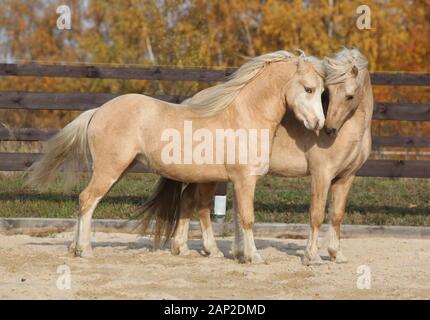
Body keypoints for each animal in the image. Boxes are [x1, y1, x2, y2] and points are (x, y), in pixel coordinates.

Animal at [27, 50, 326, 262]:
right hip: (109, 169)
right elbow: (246, 219)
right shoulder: (244, 179)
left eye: (323, 91)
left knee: (85, 201)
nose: (319, 125)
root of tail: (98, 111)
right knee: (88, 199)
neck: (244, 116)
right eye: (309, 89)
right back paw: (85, 250)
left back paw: (75, 248)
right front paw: (254, 257)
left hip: (119, 168)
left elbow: (218, 215)